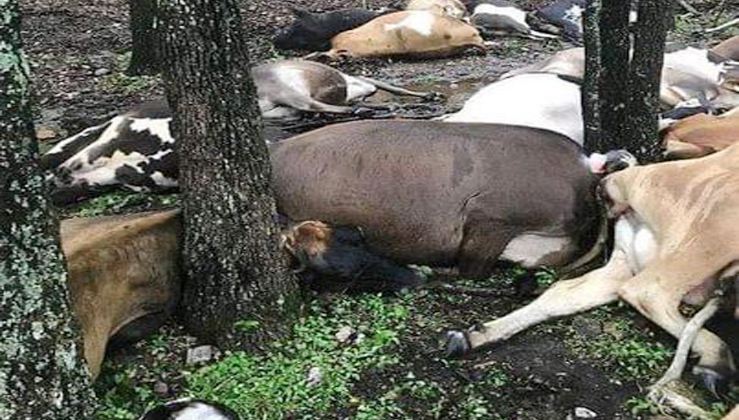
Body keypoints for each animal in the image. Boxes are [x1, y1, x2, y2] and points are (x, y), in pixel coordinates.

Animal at [446, 144, 739, 394]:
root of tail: (621, 181)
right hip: (709, 233)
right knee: (648, 291)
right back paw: (716, 363)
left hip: (626, 263)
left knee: (564, 292)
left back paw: (470, 336)